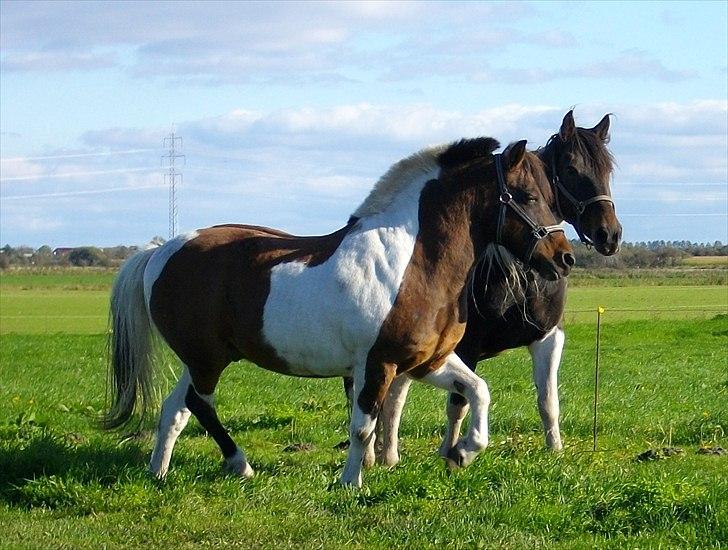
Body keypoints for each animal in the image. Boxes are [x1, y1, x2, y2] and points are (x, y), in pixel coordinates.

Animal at [104, 137, 576, 488]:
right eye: (527, 195)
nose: (565, 258)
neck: (412, 261)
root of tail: (161, 250)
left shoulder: (428, 361)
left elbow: (478, 391)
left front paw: (462, 453)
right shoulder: (377, 363)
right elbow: (363, 426)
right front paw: (351, 482)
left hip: (202, 358)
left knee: (175, 409)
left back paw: (159, 472)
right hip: (207, 359)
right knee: (199, 406)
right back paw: (240, 464)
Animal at [356, 112, 620, 470]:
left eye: (607, 170)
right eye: (571, 169)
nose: (609, 235)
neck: (520, 277)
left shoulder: (548, 338)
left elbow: (548, 401)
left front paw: (555, 450)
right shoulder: (464, 347)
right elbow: (457, 403)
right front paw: (451, 452)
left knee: (395, 395)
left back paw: (389, 454)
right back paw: (375, 454)